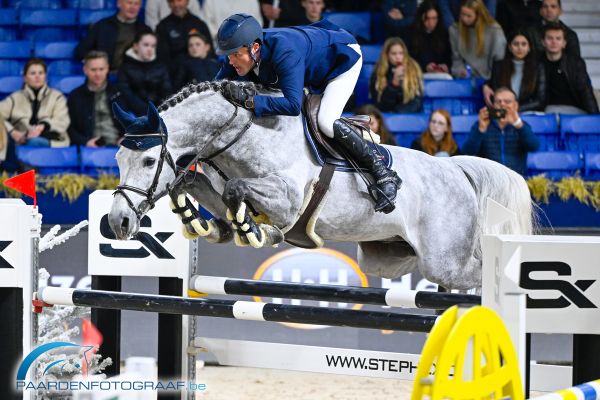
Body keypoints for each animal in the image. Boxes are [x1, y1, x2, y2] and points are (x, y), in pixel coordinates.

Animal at [109, 80, 536, 290]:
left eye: (148, 161)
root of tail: (457, 170)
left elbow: (239, 195)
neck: (242, 132)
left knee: (482, 271)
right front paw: (205, 222)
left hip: (444, 260)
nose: (118, 224)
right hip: (389, 256)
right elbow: (206, 190)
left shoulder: (287, 199)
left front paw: (257, 231)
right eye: (117, 160)